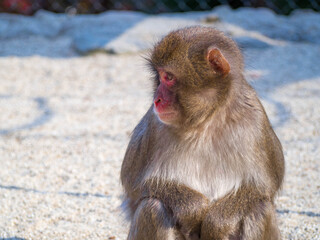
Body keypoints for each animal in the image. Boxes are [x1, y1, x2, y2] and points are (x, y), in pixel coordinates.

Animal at [120, 26, 284, 240]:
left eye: (169, 77)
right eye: (159, 76)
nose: (156, 99)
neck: (205, 122)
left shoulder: (255, 121)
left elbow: (263, 189)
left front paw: (216, 223)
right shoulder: (153, 128)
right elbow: (135, 185)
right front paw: (193, 209)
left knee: (259, 208)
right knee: (152, 206)